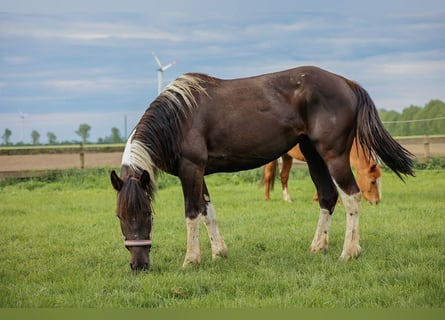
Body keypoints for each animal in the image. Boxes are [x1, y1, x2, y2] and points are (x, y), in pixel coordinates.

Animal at [108, 66, 412, 272]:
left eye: (148, 213)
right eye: (119, 216)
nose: (138, 265)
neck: (178, 118)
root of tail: (347, 83)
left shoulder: (191, 169)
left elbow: (192, 213)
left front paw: (191, 260)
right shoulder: (198, 172)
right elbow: (208, 212)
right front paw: (219, 253)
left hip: (333, 156)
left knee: (351, 196)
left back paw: (349, 252)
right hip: (313, 156)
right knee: (328, 196)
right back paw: (318, 247)